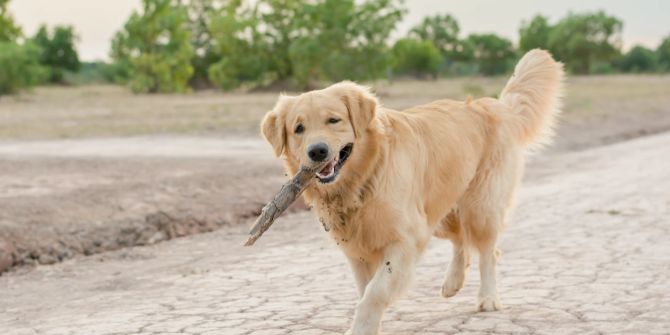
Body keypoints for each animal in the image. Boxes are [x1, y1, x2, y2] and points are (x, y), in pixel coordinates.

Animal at [260, 48, 564, 334]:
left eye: (333, 120)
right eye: (298, 128)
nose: (317, 151)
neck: (365, 177)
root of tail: (494, 106)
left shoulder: (405, 238)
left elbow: (376, 291)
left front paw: (362, 327)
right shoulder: (357, 248)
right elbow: (364, 289)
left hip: (479, 207)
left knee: (489, 251)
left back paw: (488, 298)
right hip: (439, 214)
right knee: (461, 241)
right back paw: (453, 282)